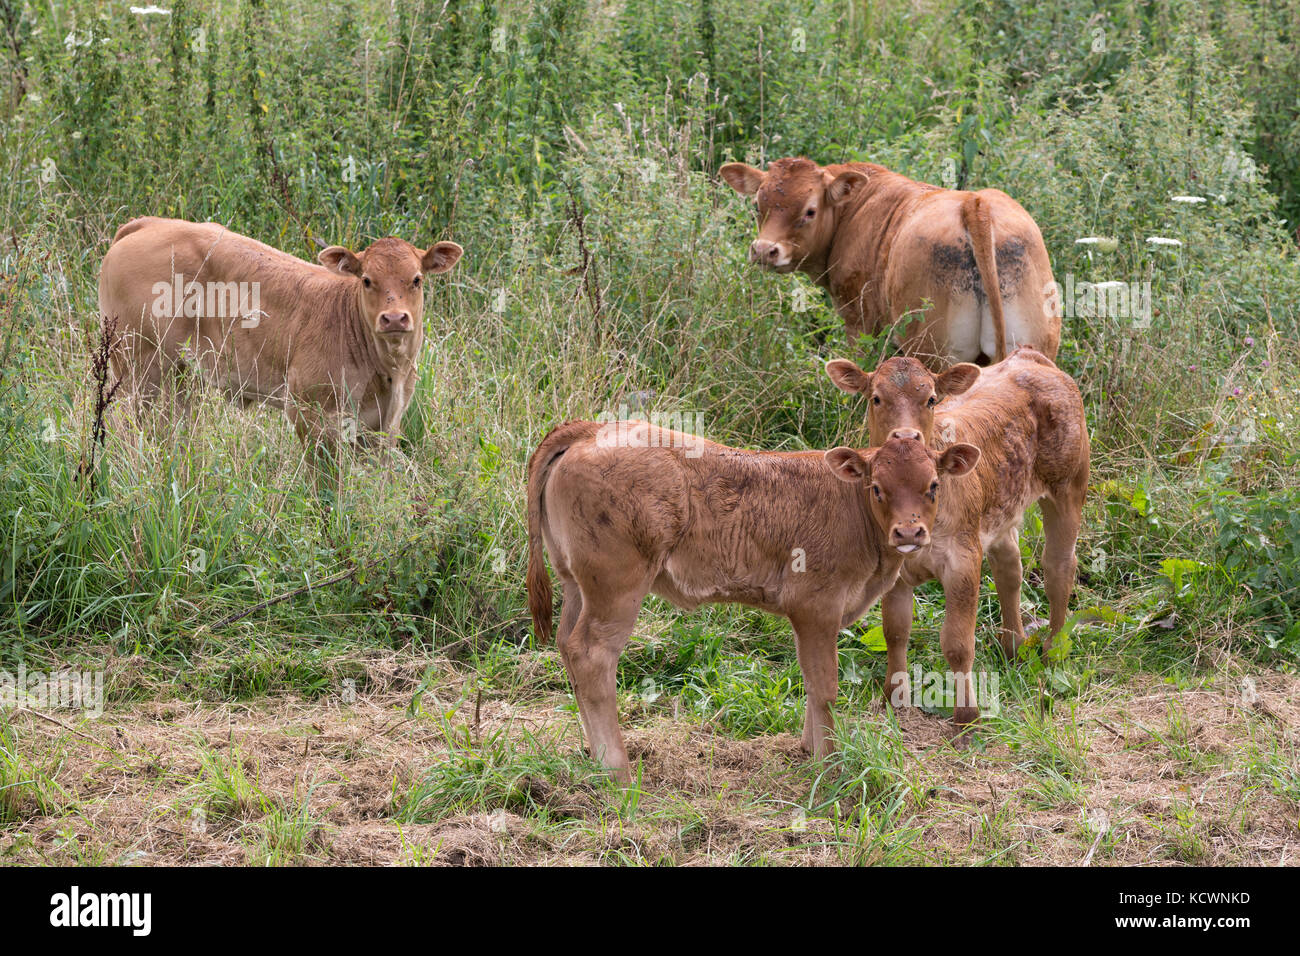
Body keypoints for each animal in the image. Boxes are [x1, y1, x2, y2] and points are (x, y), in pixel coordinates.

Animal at [97, 216, 463, 449]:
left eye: (416, 279)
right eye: (367, 280)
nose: (394, 318)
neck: (387, 370)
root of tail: (149, 223)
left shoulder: (386, 424)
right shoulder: (308, 413)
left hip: (181, 374)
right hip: (137, 367)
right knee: (130, 427)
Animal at [525, 420, 981, 782]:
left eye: (933, 486)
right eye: (877, 488)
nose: (909, 532)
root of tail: (593, 428)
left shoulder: (814, 616)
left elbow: (811, 684)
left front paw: (809, 749)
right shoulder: (816, 605)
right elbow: (825, 687)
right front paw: (830, 763)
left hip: (575, 584)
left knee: (567, 646)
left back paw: (593, 758)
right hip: (617, 588)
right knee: (592, 656)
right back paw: (617, 771)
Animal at [719, 157, 1060, 367]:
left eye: (810, 210)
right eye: (757, 205)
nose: (764, 250)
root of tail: (975, 203)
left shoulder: (859, 321)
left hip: (935, 352)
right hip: (1035, 344)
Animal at [825, 347, 1089, 722]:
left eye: (931, 399)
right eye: (876, 398)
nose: (905, 436)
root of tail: (1028, 356)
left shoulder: (963, 560)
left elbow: (957, 642)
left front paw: (967, 714)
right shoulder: (895, 568)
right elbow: (895, 631)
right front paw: (894, 696)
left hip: (1069, 483)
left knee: (1058, 567)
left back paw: (1053, 650)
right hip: (998, 510)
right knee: (1009, 566)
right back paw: (1013, 645)